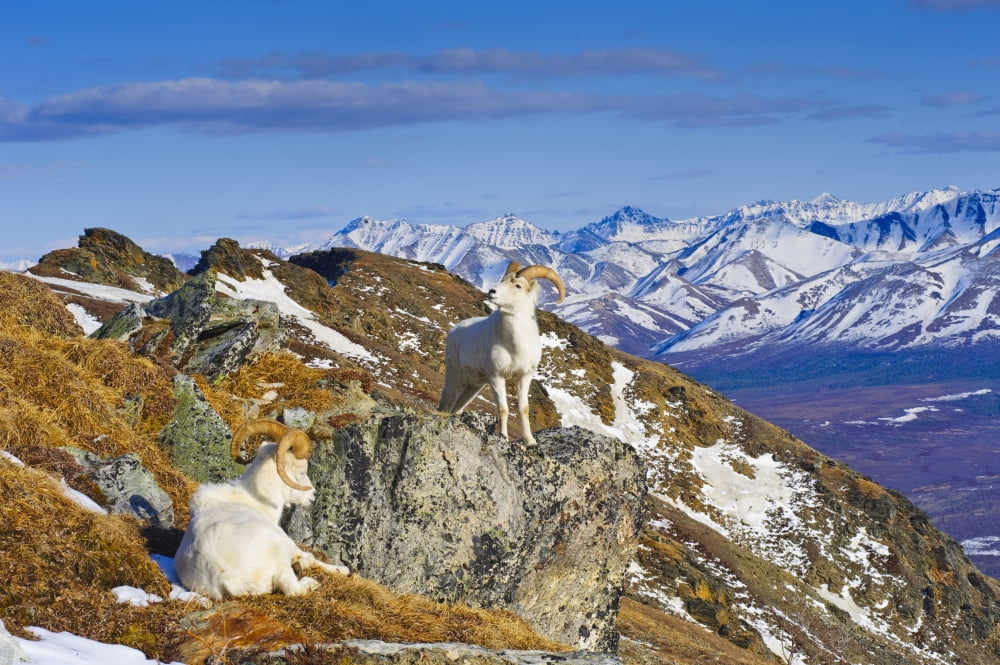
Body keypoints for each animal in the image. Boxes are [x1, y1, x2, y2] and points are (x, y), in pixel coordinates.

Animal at [174, 419, 349, 600]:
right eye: (301, 471)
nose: (313, 495)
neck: (254, 501)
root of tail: (228, 580)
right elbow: (310, 558)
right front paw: (344, 570)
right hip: (277, 550)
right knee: (293, 587)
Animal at [439, 262, 566, 446]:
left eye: (518, 285)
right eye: (503, 280)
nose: (492, 292)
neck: (514, 347)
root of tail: (454, 330)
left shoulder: (524, 376)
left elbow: (523, 408)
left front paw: (530, 441)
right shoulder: (496, 377)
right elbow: (503, 409)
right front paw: (503, 437)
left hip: (474, 386)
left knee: (458, 406)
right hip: (455, 377)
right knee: (447, 401)